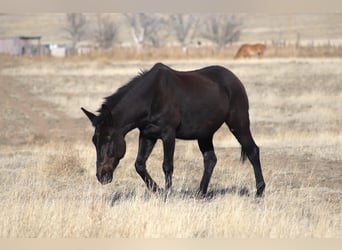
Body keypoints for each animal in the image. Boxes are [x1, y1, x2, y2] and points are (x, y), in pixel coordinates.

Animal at [81, 62, 266, 197]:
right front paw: (158, 190)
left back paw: (259, 191)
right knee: (210, 160)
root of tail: (234, 79)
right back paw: (200, 193)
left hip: (238, 123)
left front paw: (167, 193)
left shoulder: (168, 135)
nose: (101, 176)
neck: (151, 97)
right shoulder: (147, 135)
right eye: (94, 141)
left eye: (109, 139)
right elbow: (139, 165)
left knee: (252, 151)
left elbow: (167, 165)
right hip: (204, 134)